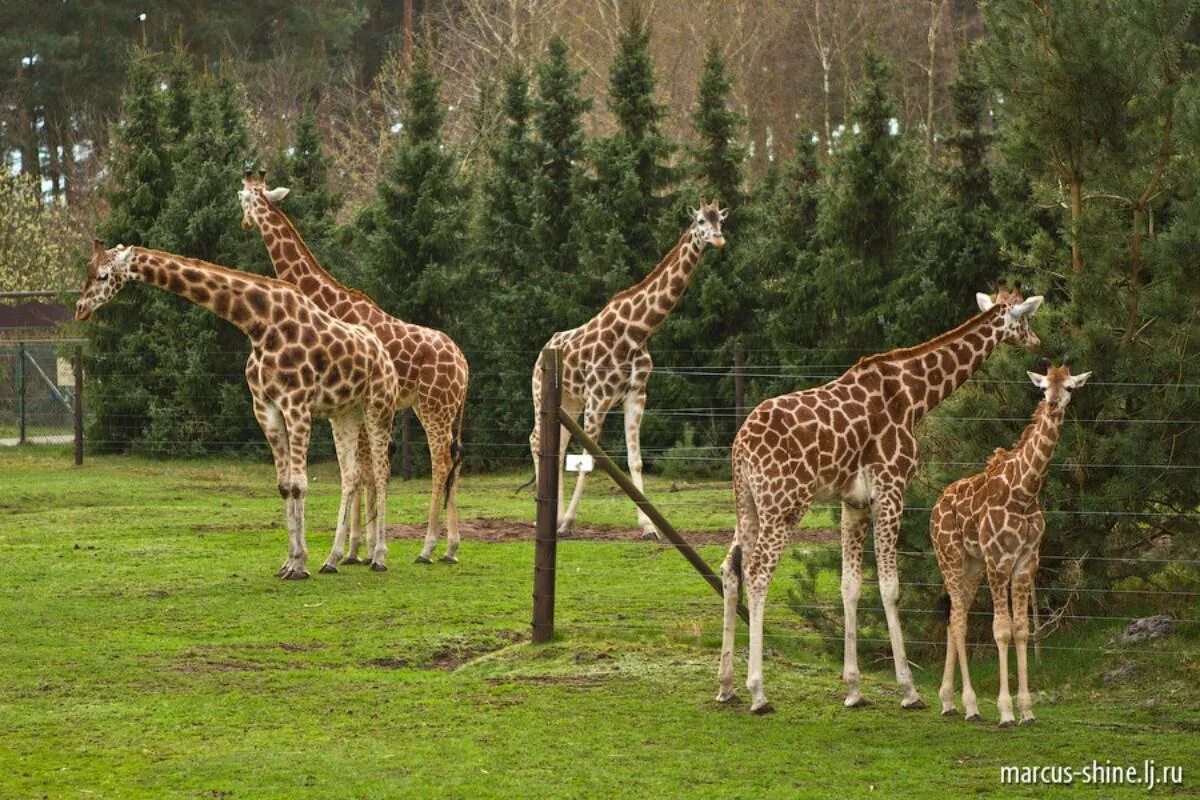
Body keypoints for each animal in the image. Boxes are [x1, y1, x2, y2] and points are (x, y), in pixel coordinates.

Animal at [77, 241, 400, 578]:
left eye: (102, 276)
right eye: (86, 270)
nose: (80, 308)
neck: (260, 325)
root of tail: (383, 353)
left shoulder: (297, 404)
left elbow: (299, 484)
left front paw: (299, 565)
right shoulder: (266, 408)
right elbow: (285, 485)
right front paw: (290, 561)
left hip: (379, 406)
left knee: (381, 472)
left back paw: (379, 557)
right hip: (345, 413)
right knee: (350, 475)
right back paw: (332, 559)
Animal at [238, 172, 468, 566]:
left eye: (242, 198)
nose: (244, 223)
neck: (328, 300)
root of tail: (465, 366)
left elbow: (361, 471)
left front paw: (355, 548)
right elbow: (365, 472)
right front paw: (357, 548)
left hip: (434, 408)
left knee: (440, 463)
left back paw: (427, 548)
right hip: (445, 410)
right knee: (455, 460)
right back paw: (451, 548)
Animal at [530, 199, 724, 537]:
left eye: (721, 221)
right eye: (701, 220)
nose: (717, 239)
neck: (637, 331)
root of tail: (542, 352)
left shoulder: (635, 395)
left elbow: (635, 460)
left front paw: (648, 526)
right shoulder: (598, 398)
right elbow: (588, 459)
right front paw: (568, 523)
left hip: (569, 401)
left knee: (556, 446)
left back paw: (552, 515)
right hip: (542, 395)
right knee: (536, 441)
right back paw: (550, 517)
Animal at [715, 281, 1046, 714]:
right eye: (1026, 318)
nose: (1037, 342)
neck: (914, 394)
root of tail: (739, 446)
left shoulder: (853, 502)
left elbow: (850, 585)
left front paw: (854, 690)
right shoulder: (891, 487)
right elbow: (890, 587)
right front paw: (909, 690)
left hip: (748, 504)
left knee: (730, 570)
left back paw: (726, 686)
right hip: (783, 505)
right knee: (757, 575)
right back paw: (758, 693)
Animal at [931, 367, 1094, 729]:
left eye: (1070, 387)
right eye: (1043, 388)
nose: (1053, 405)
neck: (1025, 492)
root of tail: (936, 504)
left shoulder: (1025, 562)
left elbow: (1021, 630)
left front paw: (1027, 710)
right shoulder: (998, 560)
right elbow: (1001, 630)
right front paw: (1005, 711)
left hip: (971, 564)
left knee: (955, 616)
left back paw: (948, 702)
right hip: (949, 555)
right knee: (959, 620)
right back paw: (970, 705)